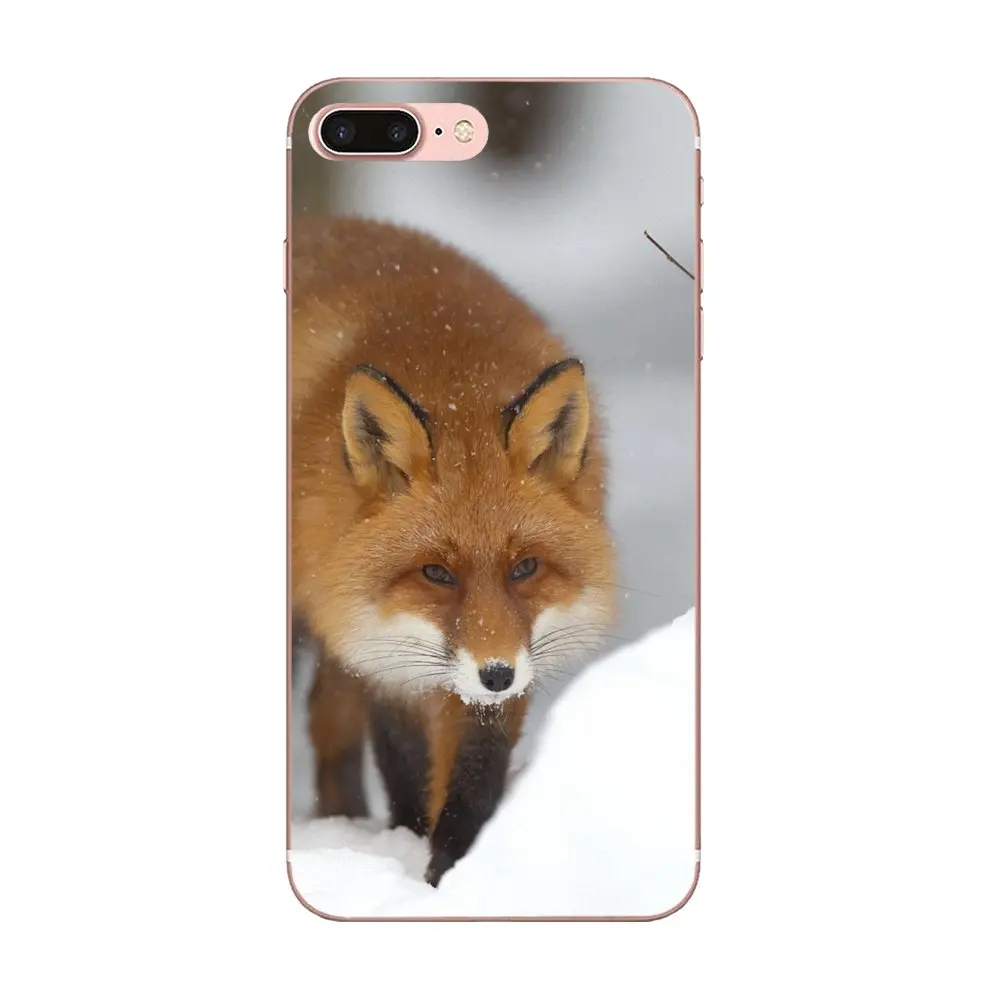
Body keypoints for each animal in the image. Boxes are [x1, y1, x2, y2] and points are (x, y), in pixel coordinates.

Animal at [291, 217, 615, 886]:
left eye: (525, 568)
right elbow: (407, 766)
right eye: (436, 572)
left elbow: (474, 776)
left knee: (326, 718)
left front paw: (456, 870)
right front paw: (415, 853)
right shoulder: (384, 653)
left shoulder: (505, 661)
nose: (496, 674)